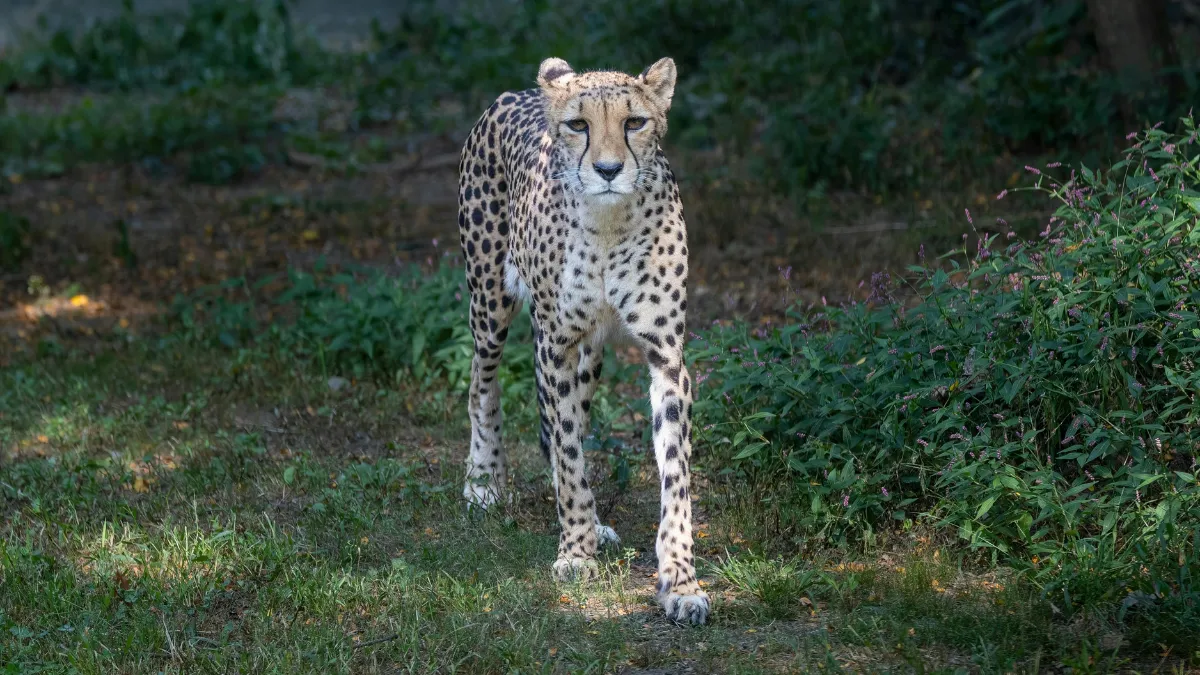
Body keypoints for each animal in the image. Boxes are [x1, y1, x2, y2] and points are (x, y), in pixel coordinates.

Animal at [455, 56, 709, 624]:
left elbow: (674, 476)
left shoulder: (665, 356)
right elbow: (569, 455)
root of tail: (520, 92)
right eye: (578, 125)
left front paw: (680, 581)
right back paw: (483, 481)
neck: (610, 225)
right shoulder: (556, 344)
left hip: (590, 352)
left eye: (635, 122)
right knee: (483, 383)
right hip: (490, 301)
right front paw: (575, 551)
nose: (609, 170)